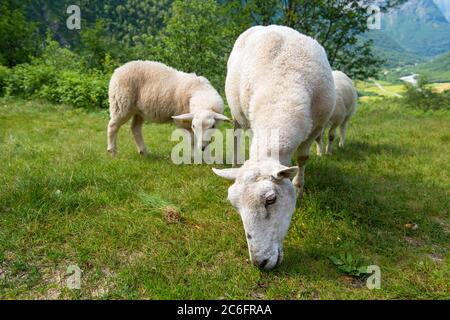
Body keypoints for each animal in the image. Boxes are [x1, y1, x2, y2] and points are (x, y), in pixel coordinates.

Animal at [213, 25, 336, 270]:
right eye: (234, 205)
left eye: (271, 199)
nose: (260, 263)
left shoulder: (316, 126)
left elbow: (303, 158)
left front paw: (298, 186)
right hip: (238, 113)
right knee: (236, 133)